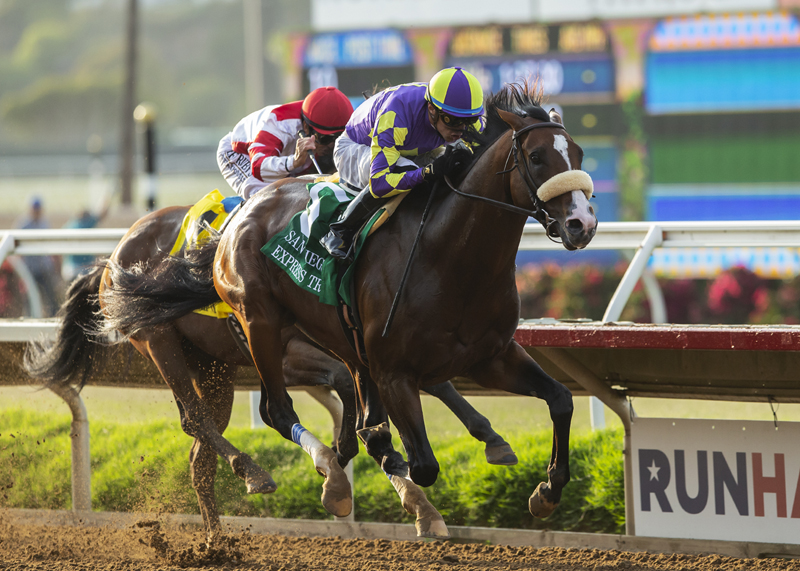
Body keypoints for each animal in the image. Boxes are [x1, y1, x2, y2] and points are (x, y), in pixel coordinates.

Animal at [26, 207, 520, 540]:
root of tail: (114, 254)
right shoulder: (288, 348)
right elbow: (349, 391)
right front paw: (347, 469)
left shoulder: (370, 344)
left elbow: (421, 387)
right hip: (158, 340)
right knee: (195, 419)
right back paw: (252, 473)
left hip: (213, 365)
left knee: (199, 452)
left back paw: (217, 539)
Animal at [94, 81, 596, 540]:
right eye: (536, 157)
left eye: (578, 152)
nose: (582, 224)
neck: (451, 257)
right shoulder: (391, 371)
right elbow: (420, 461)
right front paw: (401, 493)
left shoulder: (490, 356)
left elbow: (560, 399)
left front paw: (545, 491)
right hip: (232, 329)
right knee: (260, 412)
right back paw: (286, 474)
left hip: (224, 363)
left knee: (204, 451)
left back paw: (225, 530)